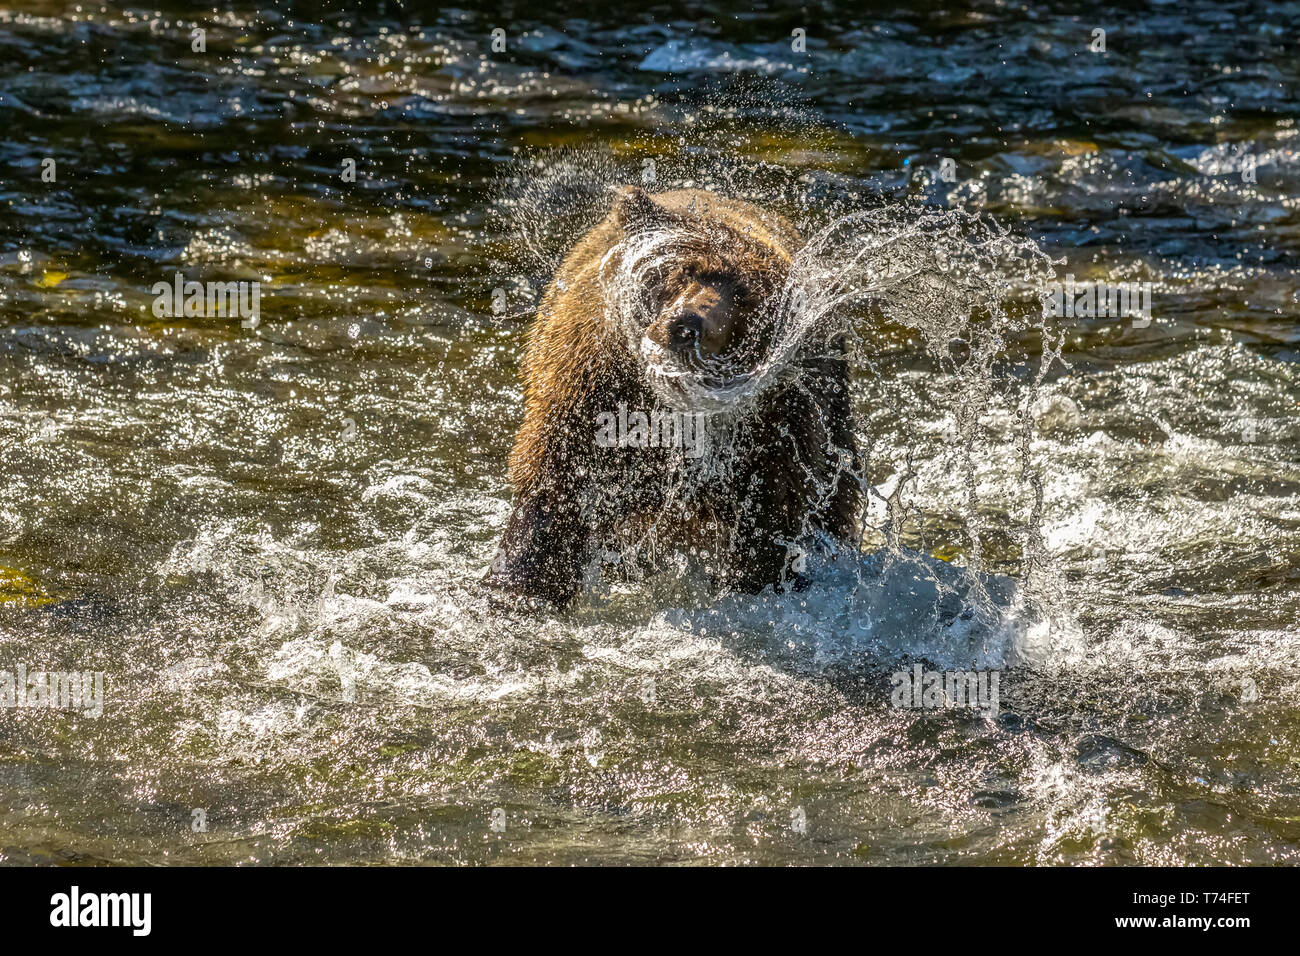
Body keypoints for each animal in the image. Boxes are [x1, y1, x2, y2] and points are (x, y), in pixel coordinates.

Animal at [483, 185, 857, 606]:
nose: (685, 324)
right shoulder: (587, 395)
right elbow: (553, 493)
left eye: (745, 297)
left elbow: (771, 520)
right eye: (685, 270)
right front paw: (518, 586)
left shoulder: (777, 432)